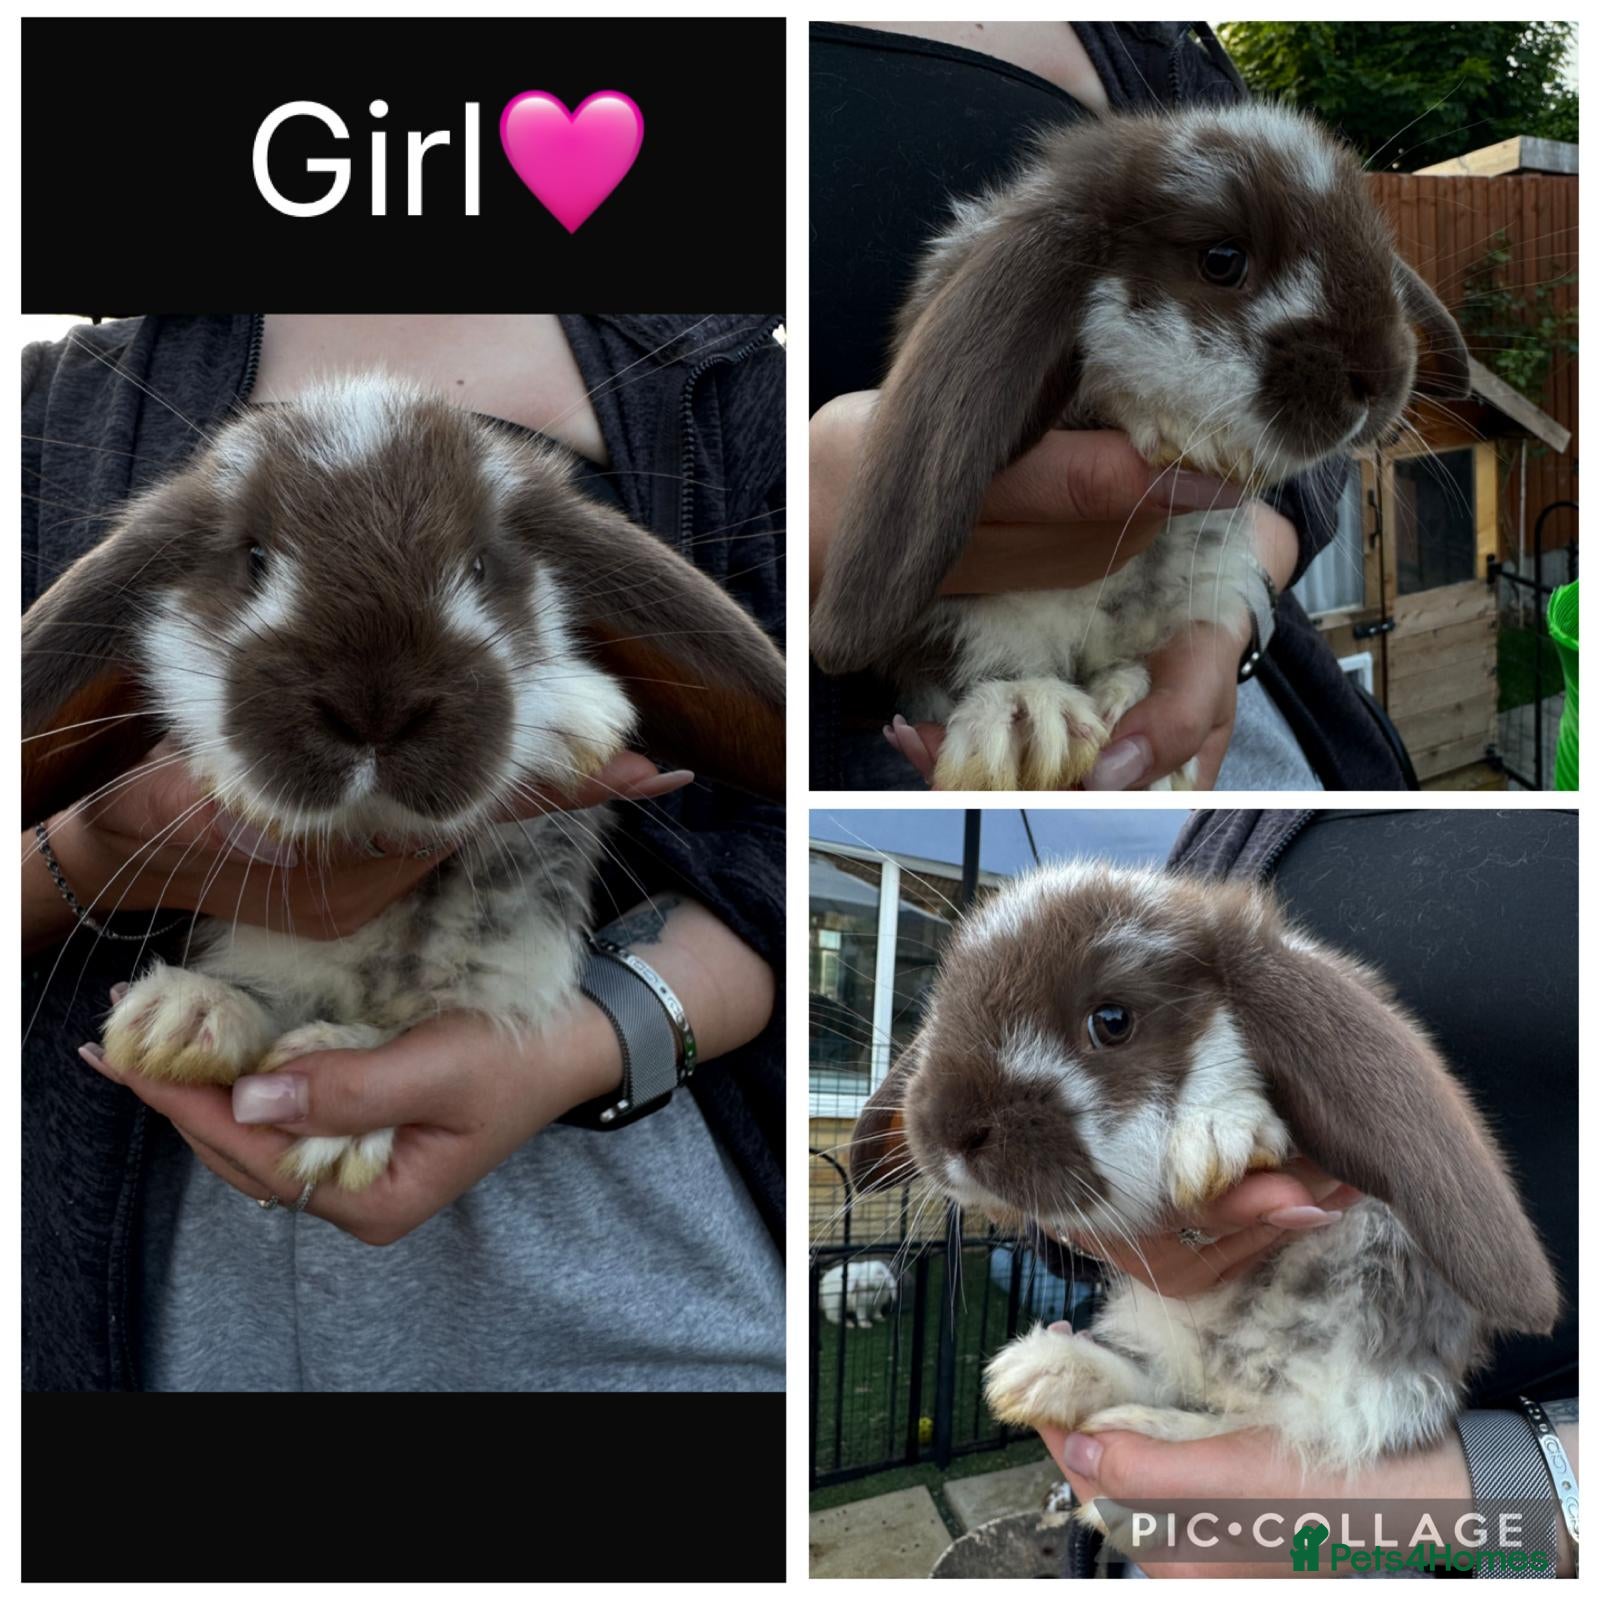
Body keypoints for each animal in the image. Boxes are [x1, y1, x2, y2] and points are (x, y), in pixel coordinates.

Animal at [22, 373, 786, 1191]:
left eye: (480, 565)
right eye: (253, 557)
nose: (375, 710)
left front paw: (581, 720)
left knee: (409, 1019)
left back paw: (332, 1106)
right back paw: (182, 1019)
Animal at [849, 861, 1558, 1481]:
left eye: (1112, 1021)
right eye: (945, 1003)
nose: (948, 1128)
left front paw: (1218, 1135)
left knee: (1272, 1421)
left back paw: (1127, 1430)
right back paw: (1042, 1373)